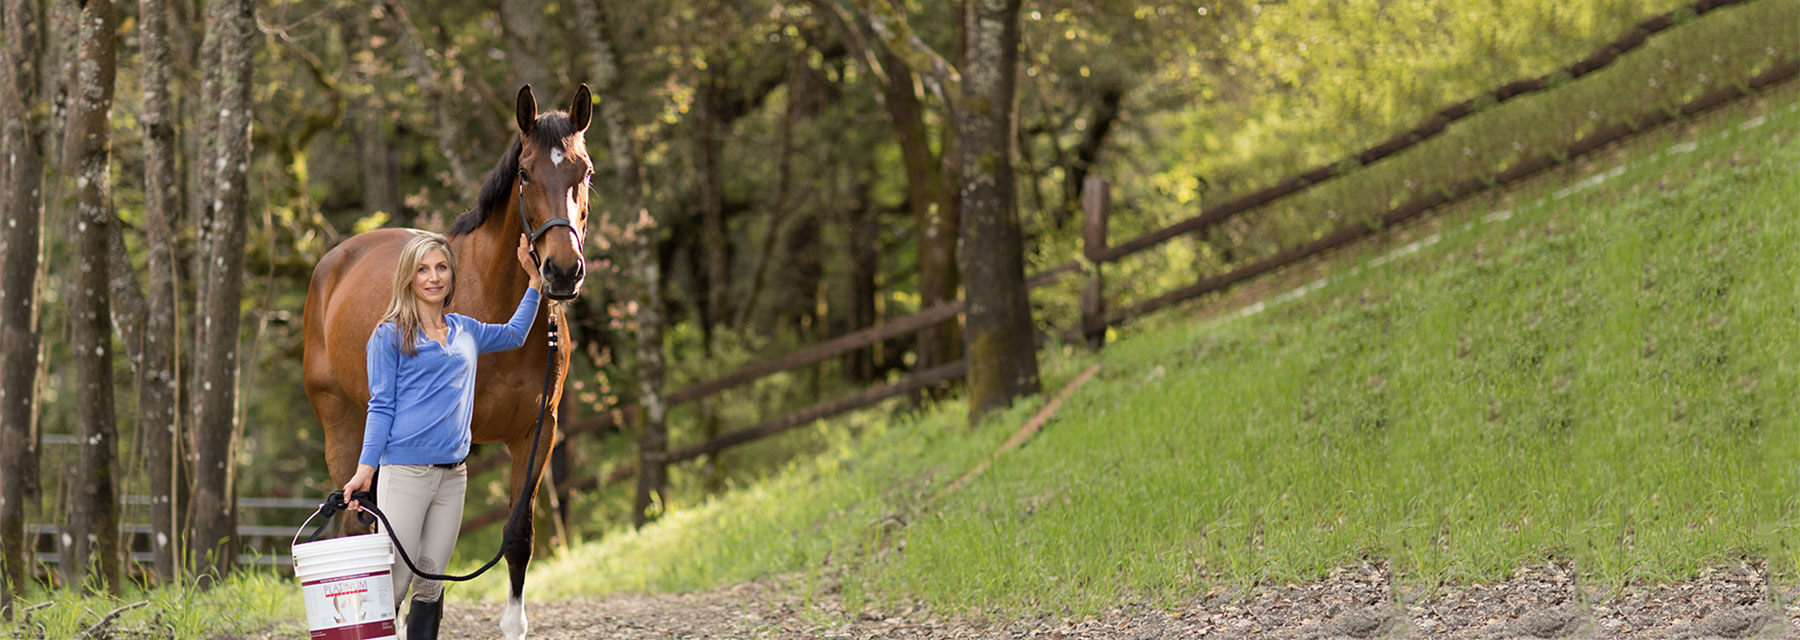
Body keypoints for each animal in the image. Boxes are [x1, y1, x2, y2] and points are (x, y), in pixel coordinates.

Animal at [302, 84, 594, 640]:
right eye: (525, 173)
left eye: (585, 171)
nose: (562, 271)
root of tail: (334, 262)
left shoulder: (537, 433)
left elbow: (517, 535)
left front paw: (514, 625)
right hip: (341, 427)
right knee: (360, 524)